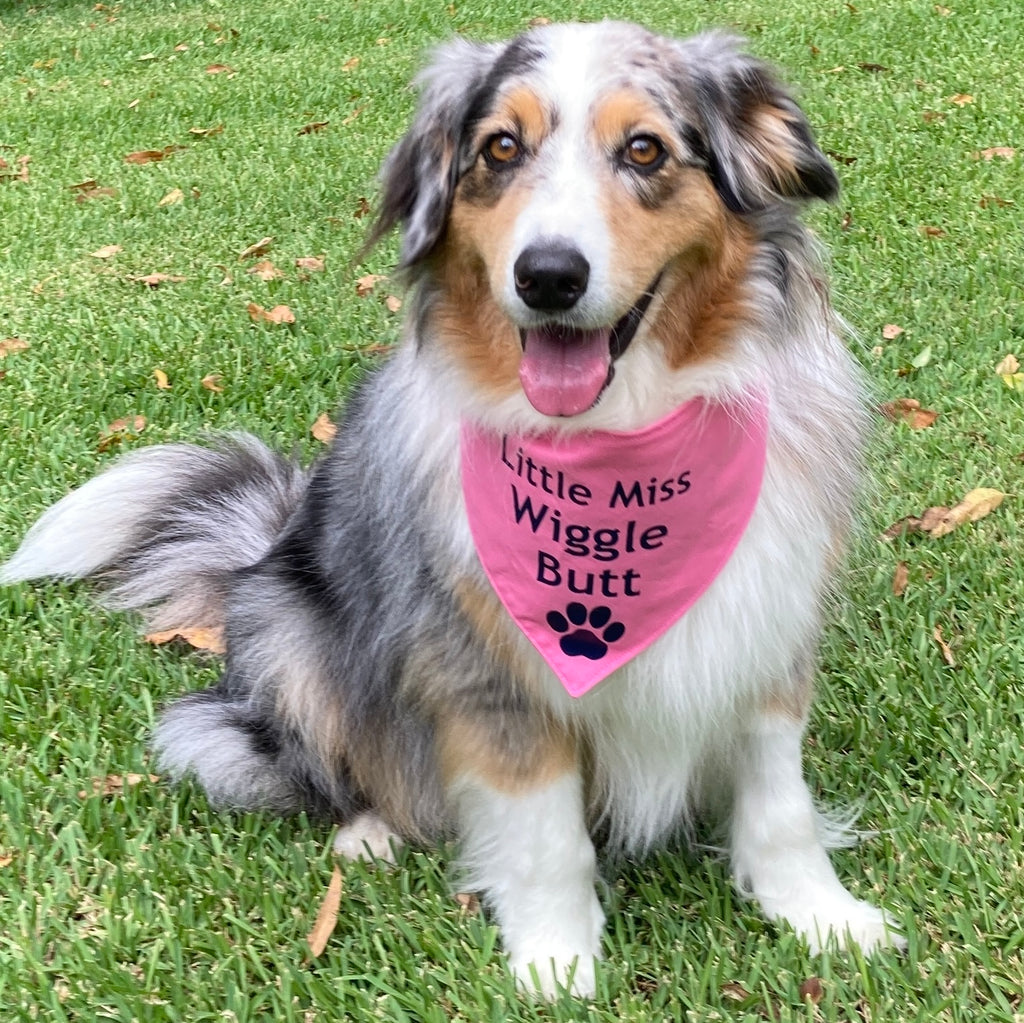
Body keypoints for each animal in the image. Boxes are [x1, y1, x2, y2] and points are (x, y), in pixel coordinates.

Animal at [6, 22, 905, 999]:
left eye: (645, 150)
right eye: (500, 150)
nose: (547, 275)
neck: (616, 446)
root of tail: (266, 541)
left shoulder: (764, 626)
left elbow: (780, 804)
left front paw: (820, 914)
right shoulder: (484, 671)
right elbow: (546, 834)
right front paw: (557, 959)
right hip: (292, 637)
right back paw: (369, 831)